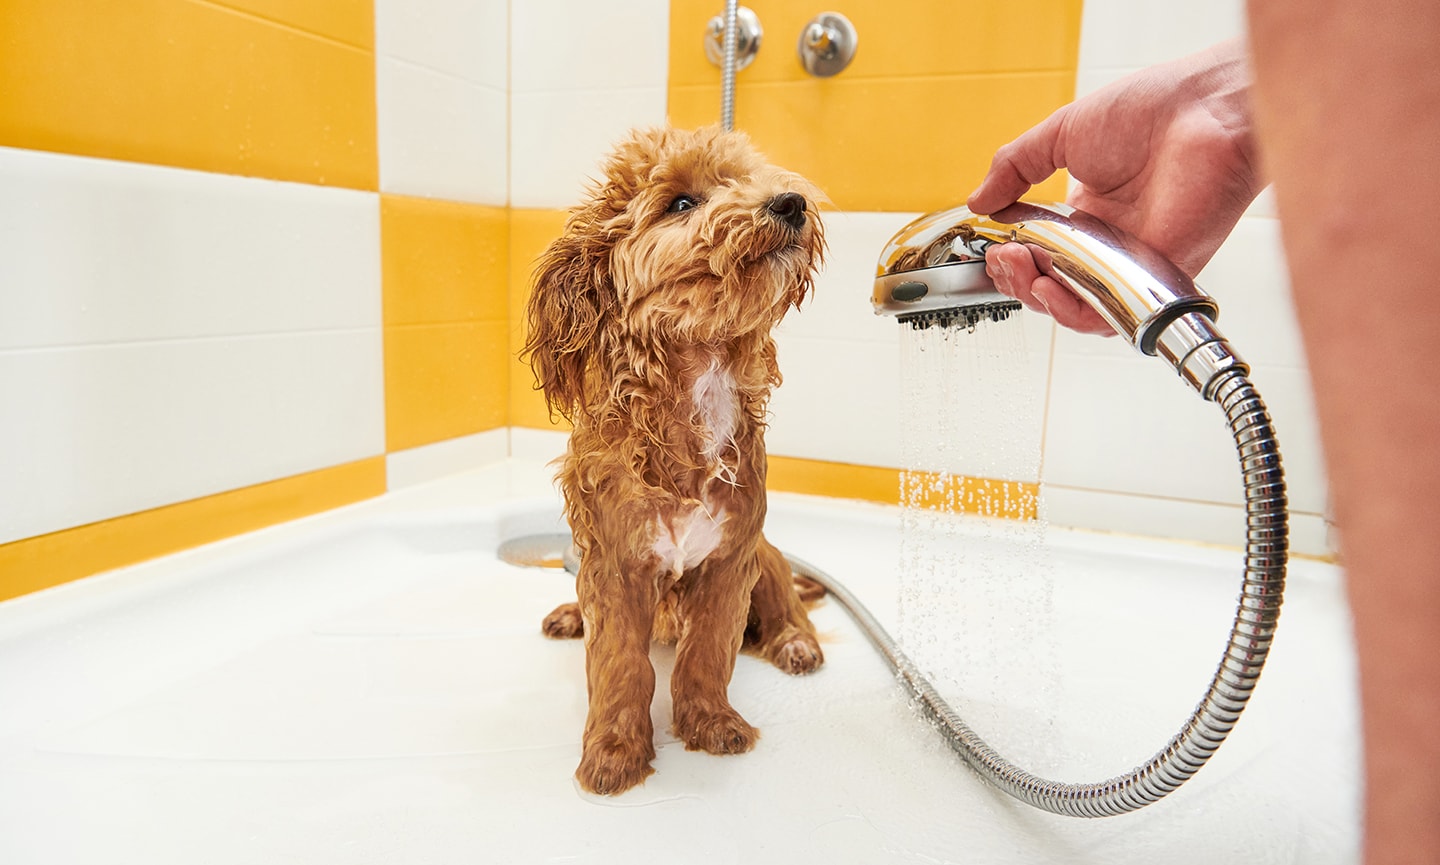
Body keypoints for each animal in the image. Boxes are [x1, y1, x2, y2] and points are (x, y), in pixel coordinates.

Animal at [524, 124, 829, 794]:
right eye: (681, 203)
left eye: (746, 178)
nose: (790, 202)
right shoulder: (613, 566)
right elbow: (621, 666)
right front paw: (614, 751)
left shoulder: (730, 561)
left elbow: (707, 655)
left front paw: (710, 723)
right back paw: (568, 615)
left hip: (769, 559)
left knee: (792, 608)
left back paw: (796, 644)